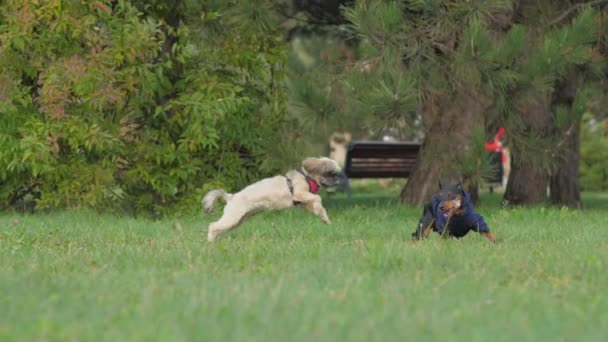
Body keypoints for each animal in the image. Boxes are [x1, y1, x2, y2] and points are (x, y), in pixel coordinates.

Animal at [203, 156, 346, 242]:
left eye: (335, 174)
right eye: (329, 173)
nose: (337, 180)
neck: (307, 178)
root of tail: (231, 196)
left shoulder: (303, 202)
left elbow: (316, 205)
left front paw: (324, 218)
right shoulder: (299, 193)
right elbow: (317, 197)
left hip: (237, 220)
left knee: (218, 227)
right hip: (232, 217)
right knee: (212, 226)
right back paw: (210, 241)